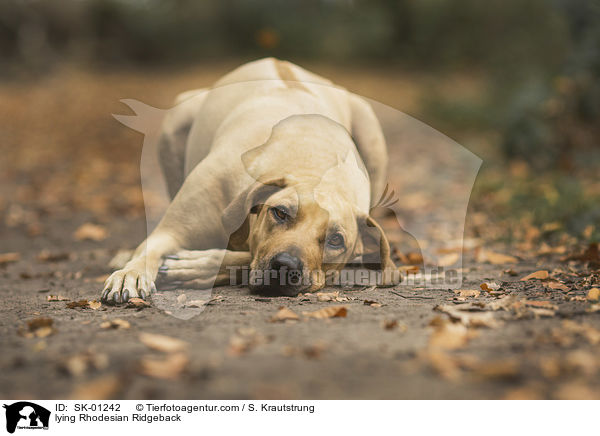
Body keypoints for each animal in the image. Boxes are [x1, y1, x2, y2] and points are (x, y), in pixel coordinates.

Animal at [101, 57, 396, 304]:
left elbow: (245, 256)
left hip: (370, 128)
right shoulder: (172, 232)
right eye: (280, 212)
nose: (286, 265)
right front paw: (130, 273)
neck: (312, 168)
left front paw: (197, 266)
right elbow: (149, 250)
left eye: (336, 240)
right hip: (176, 121)